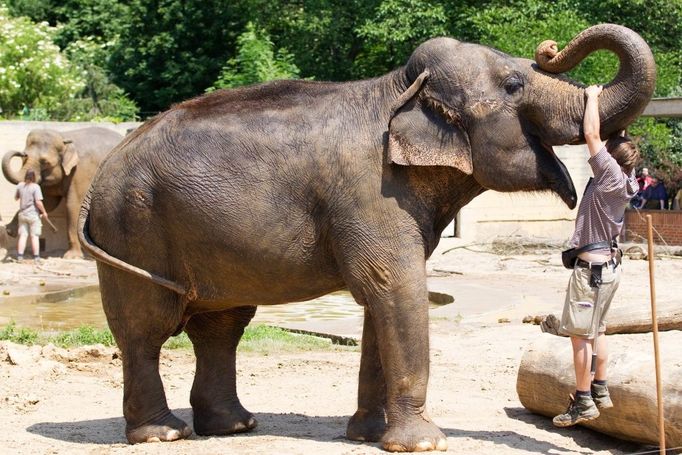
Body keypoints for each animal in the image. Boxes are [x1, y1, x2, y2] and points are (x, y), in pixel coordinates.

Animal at [1, 126, 122, 258]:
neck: (65, 137)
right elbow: (47, 203)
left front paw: (72, 256)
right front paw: (10, 230)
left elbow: (73, 205)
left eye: (45, 162)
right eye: (24, 157)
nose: (21, 152)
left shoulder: (82, 171)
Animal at [77, 24, 652, 452]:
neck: (397, 86)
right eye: (513, 84)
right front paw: (425, 444)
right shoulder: (370, 193)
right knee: (146, 329)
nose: (548, 48)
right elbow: (395, 289)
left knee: (221, 327)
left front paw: (371, 436)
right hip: (134, 228)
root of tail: (103, 170)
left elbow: (383, 302)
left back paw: (234, 427)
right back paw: (164, 434)